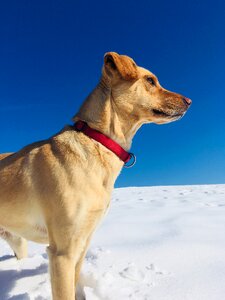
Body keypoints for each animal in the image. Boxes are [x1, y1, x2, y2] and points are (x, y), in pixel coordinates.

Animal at [0, 52, 192, 298]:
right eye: (150, 80)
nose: (189, 101)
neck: (97, 141)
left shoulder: (83, 243)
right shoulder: (63, 253)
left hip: (18, 241)